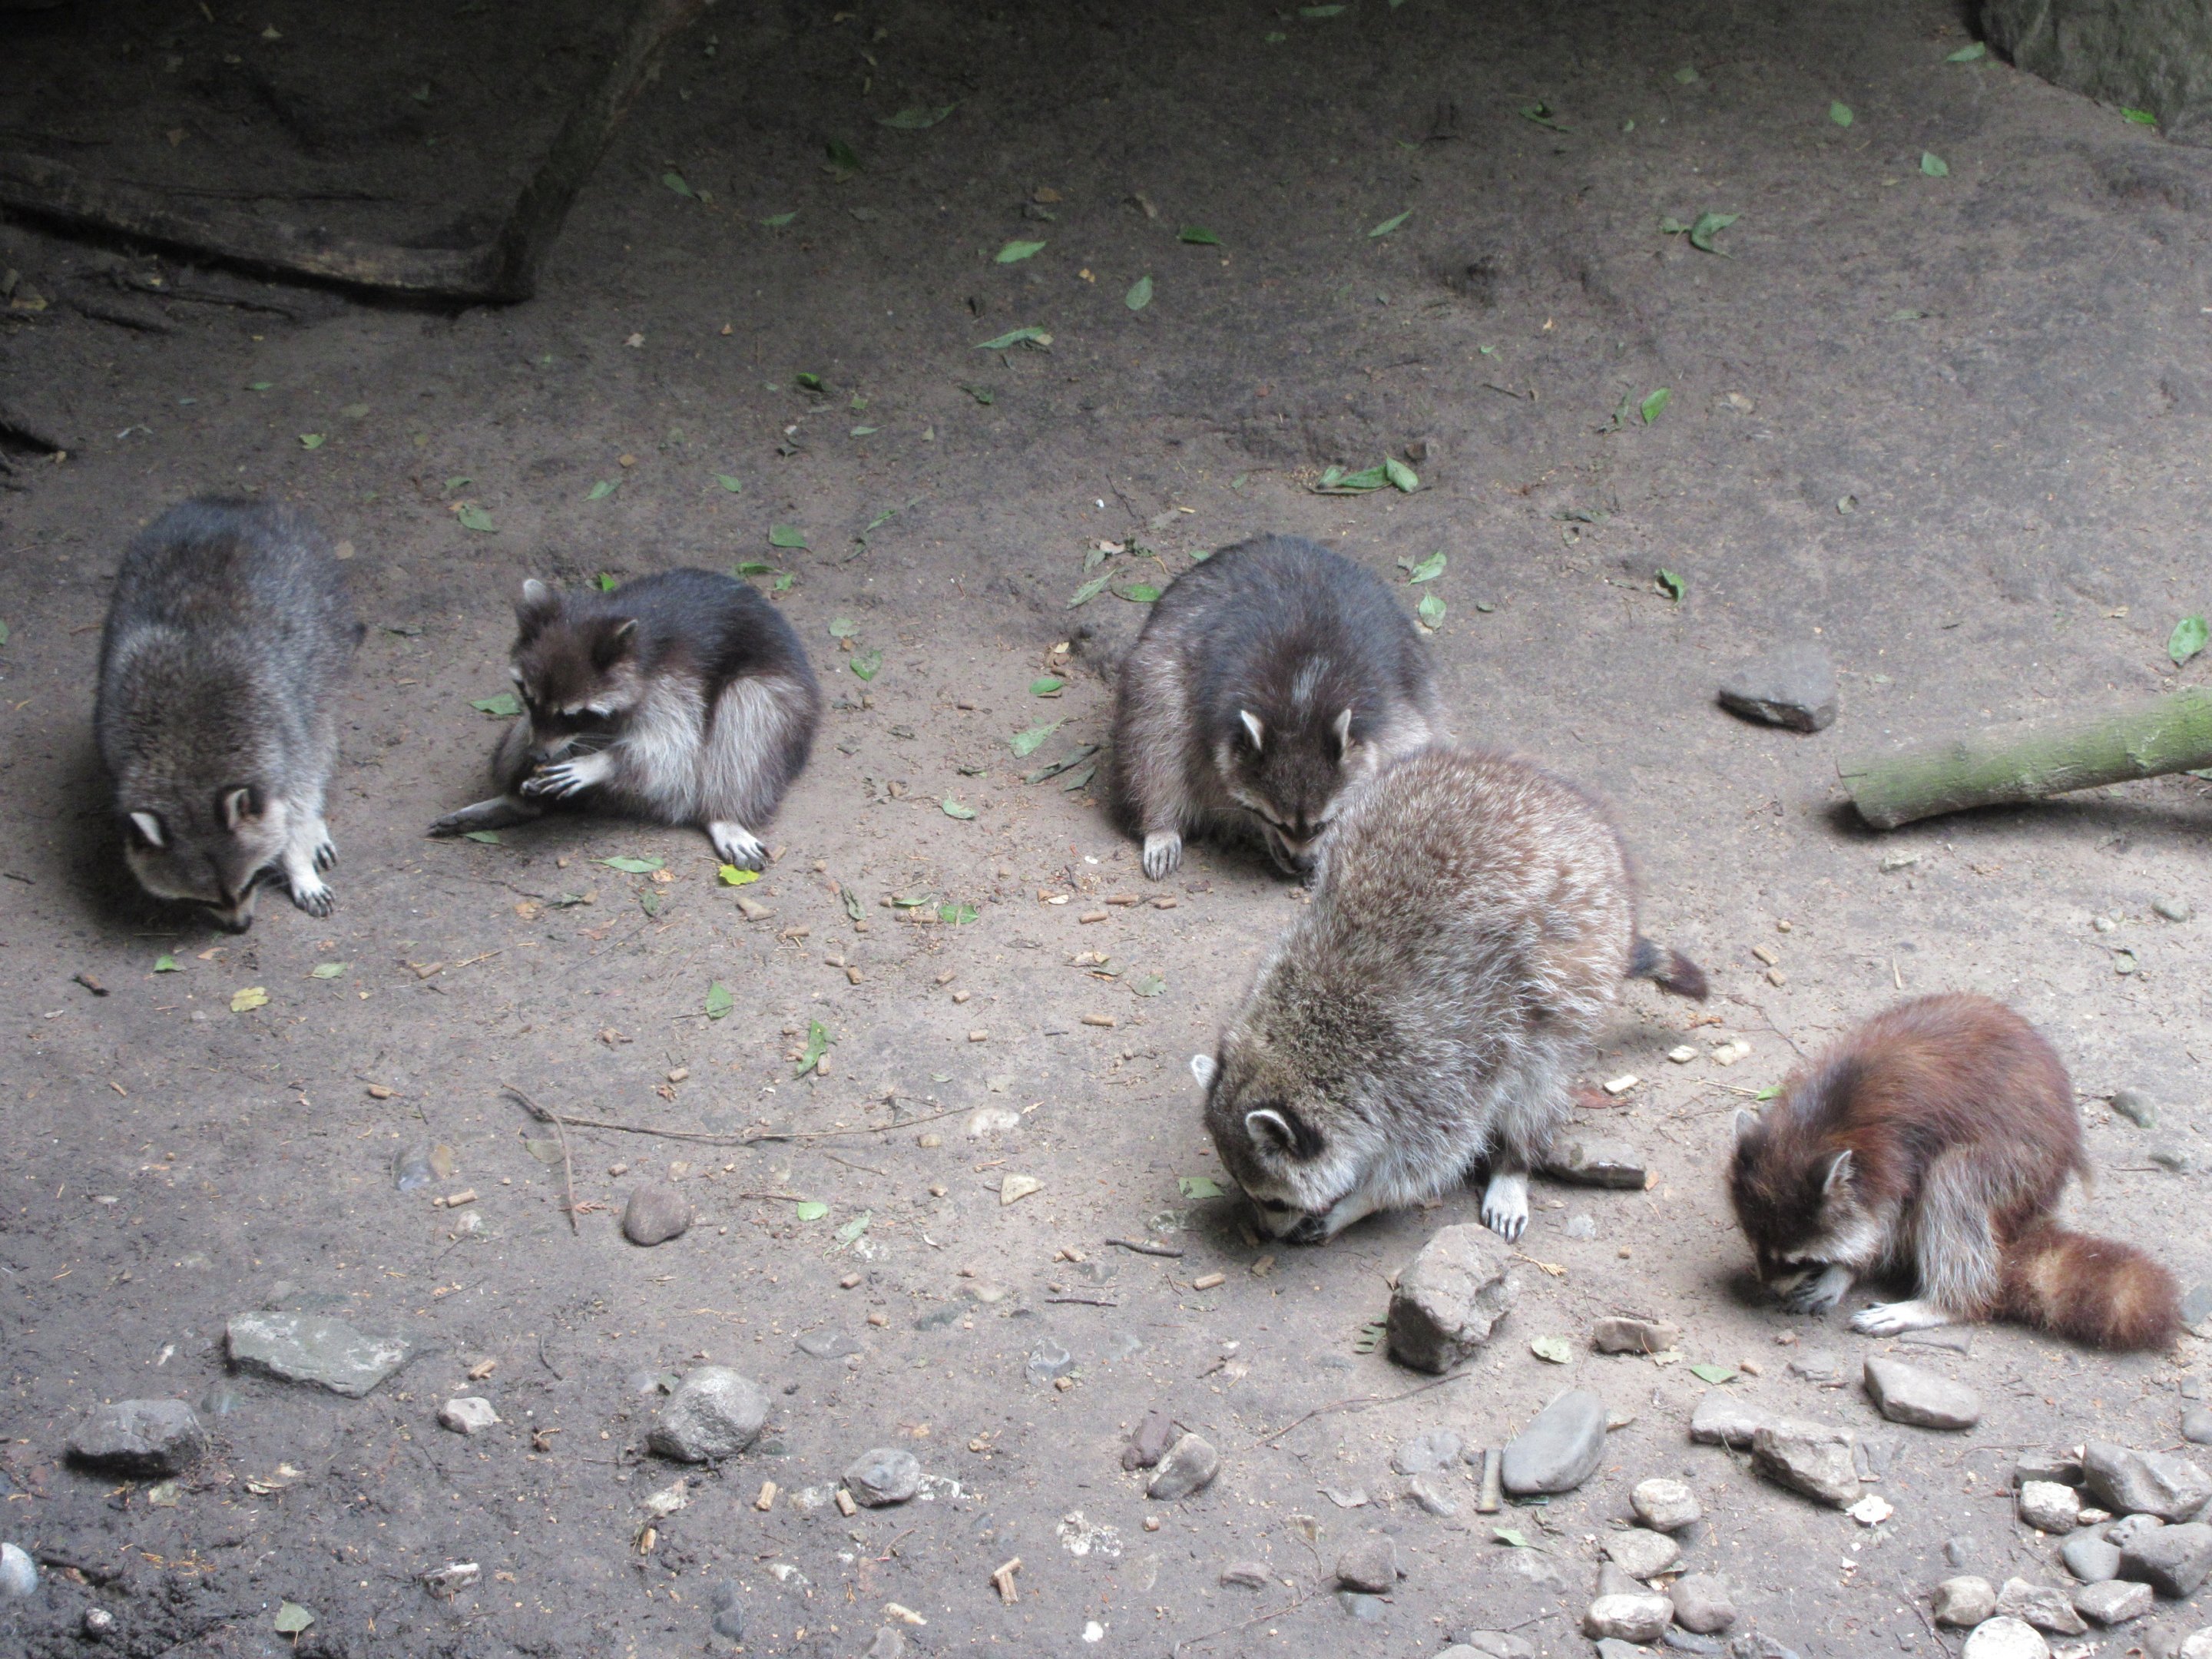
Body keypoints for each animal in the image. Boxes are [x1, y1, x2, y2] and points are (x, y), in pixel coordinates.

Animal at [95, 497, 361, 932]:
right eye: (201, 898)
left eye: (249, 881)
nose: (239, 928)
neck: (185, 768)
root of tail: (237, 503)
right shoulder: (114, 738)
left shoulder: (284, 737)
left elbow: (301, 795)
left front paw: (298, 862)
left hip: (326, 627)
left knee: (322, 733)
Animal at [428, 569, 820, 867]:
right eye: (528, 696)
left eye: (572, 715)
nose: (539, 754)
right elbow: (532, 732)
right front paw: (534, 773)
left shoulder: (677, 680)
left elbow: (672, 750)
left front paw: (601, 763)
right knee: (516, 738)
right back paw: (518, 803)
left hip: (781, 700)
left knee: (747, 715)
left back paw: (721, 812)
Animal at [1109, 534, 1447, 881]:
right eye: (1275, 821)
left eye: (1323, 824)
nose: (1301, 864)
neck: (1301, 705)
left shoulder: (1396, 704)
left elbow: (1412, 756)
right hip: (1161, 658)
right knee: (1156, 733)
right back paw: (1161, 822)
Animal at [1192, 746, 1707, 1244]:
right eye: (1246, 1190)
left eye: (1275, 1201)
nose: (1265, 1233)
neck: (1306, 1037)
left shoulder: (1437, 1071)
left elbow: (1433, 1156)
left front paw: (1358, 1202)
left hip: (1579, 963)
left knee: (1540, 1076)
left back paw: (1514, 1163)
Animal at [1729, 993, 2180, 1350]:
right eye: (1754, 1243)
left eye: (1797, 1259)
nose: (1766, 1287)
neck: (1814, 1131)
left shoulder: (1898, 1151)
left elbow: (1885, 1221)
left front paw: (1847, 1270)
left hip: (2023, 1166)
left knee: (1955, 1184)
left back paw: (1944, 1302)